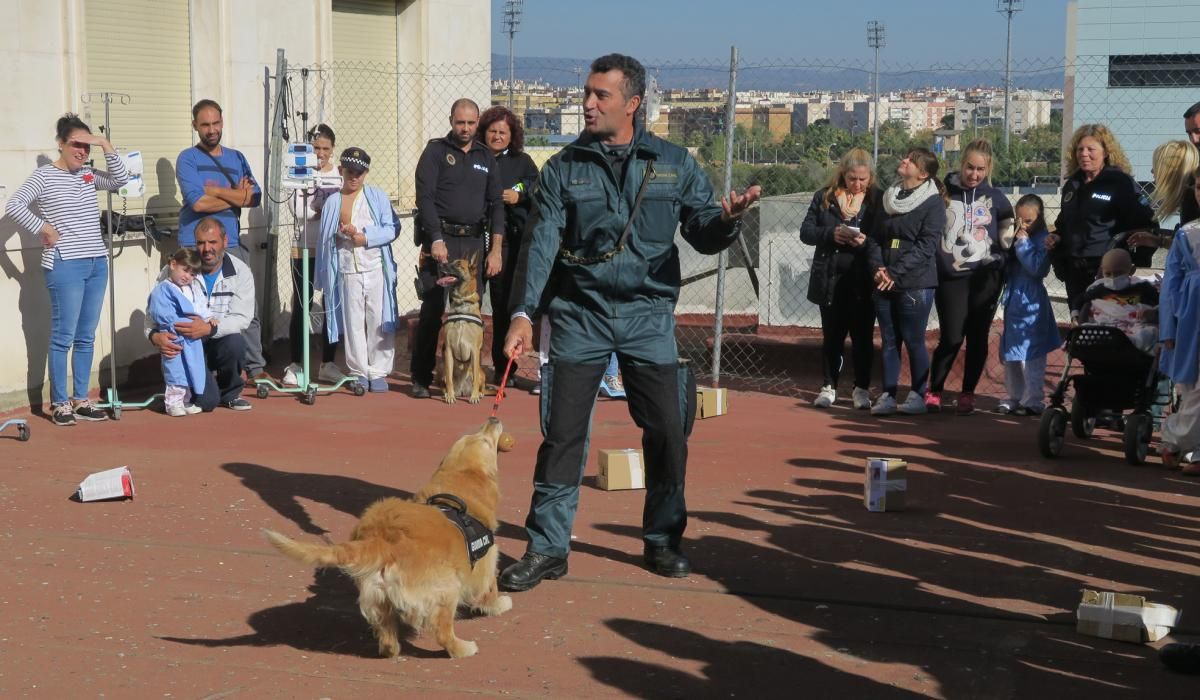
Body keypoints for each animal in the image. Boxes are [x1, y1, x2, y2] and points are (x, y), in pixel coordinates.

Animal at [264, 420, 516, 657]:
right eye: (485, 441)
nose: (492, 419)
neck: (457, 487)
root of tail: (383, 538)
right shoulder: (486, 562)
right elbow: (489, 589)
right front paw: (498, 605)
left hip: (378, 596)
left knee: (385, 634)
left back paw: (391, 649)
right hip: (446, 589)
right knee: (442, 632)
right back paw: (463, 648)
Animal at [439, 253, 484, 405]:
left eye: (458, 265)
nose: (440, 263)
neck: (461, 302)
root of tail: (463, 391)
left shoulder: (475, 350)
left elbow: (475, 379)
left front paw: (475, 396)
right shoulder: (448, 350)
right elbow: (449, 380)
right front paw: (450, 396)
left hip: (482, 373)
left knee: (480, 383)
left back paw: (479, 394)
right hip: (443, 373)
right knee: (446, 381)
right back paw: (447, 394)